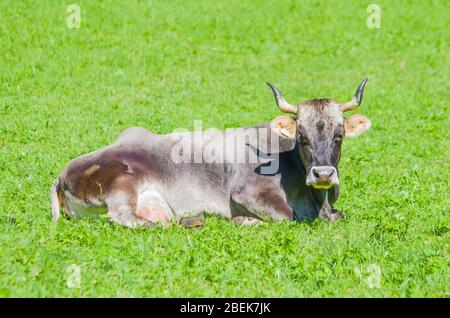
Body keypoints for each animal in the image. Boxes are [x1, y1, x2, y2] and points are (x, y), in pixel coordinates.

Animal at [51, 78, 370, 227]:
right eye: (302, 137)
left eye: (339, 135)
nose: (323, 174)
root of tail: (63, 172)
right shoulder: (247, 192)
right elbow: (287, 217)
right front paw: (245, 221)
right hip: (121, 183)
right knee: (125, 217)